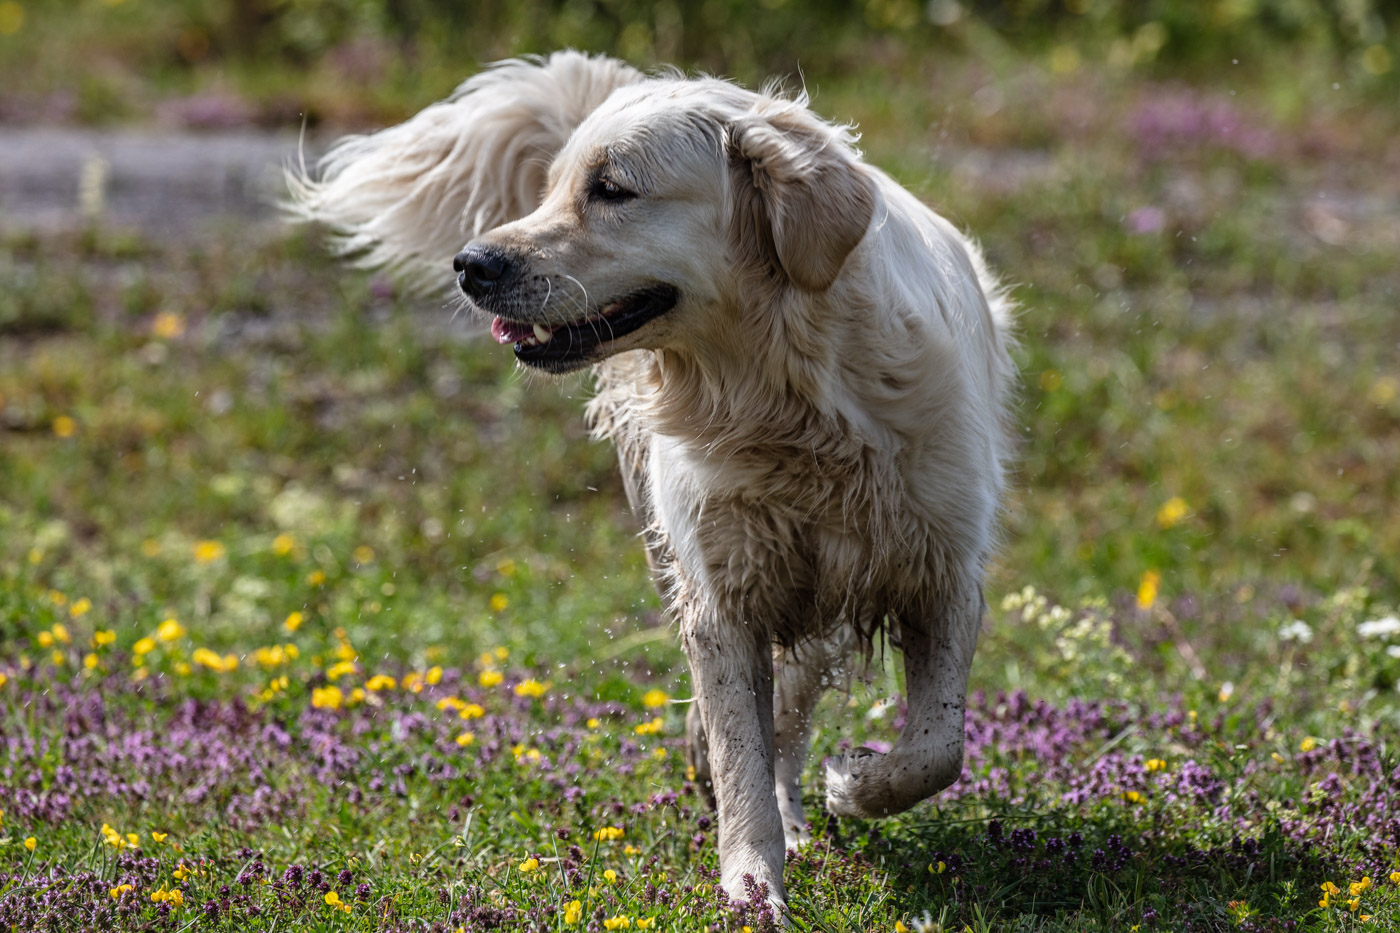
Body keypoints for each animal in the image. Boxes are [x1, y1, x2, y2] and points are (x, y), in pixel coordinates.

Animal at [289, 49, 1013, 907]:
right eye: (553, 190)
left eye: (612, 189)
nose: (471, 264)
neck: (785, 394)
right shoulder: (723, 591)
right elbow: (741, 751)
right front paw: (751, 886)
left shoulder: (942, 570)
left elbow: (936, 747)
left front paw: (853, 784)